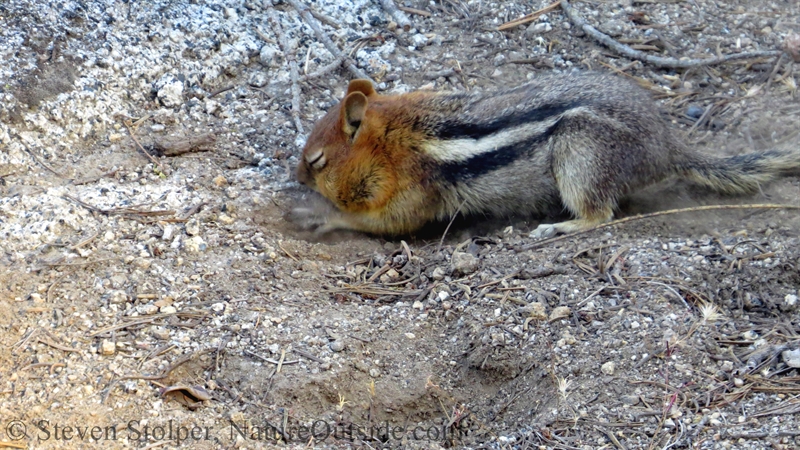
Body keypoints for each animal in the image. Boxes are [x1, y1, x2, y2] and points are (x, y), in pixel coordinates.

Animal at [296, 72, 800, 237]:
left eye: (317, 161)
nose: (298, 178)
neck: (399, 133)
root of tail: (665, 143)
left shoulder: (414, 190)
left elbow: (385, 223)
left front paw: (320, 215)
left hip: (582, 154)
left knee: (600, 214)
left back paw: (559, 227)